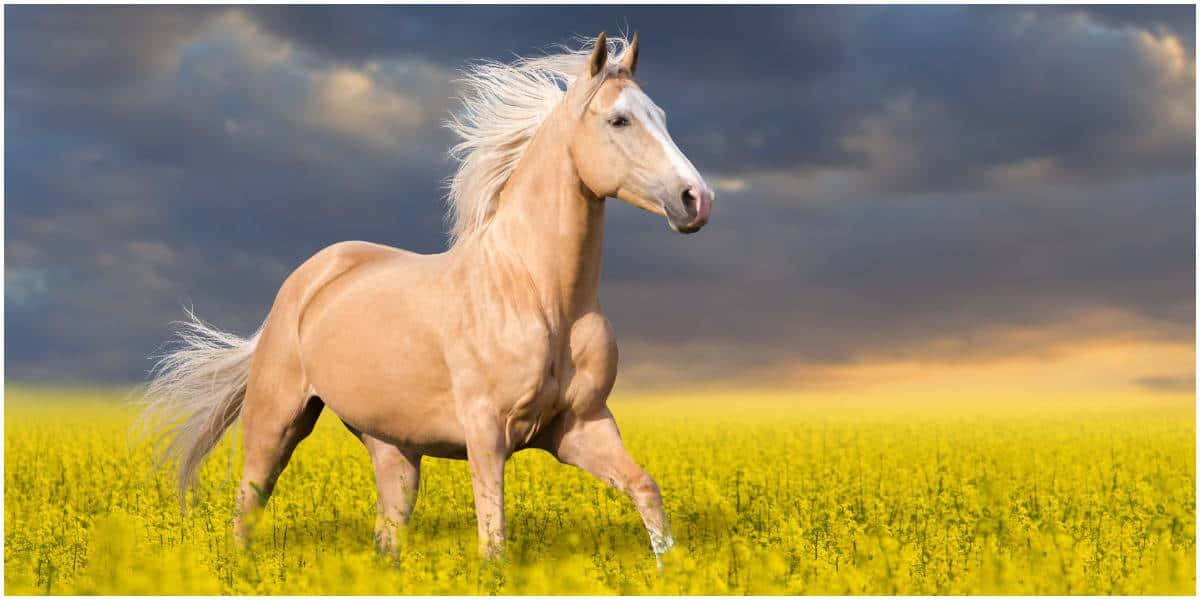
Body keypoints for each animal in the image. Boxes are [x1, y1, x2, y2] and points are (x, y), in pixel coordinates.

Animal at [142, 32, 713, 563]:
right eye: (618, 121)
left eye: (660, 115)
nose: (696, 200)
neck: (540, 295)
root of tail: (306, 281)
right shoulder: (487, 432)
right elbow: (493, 541)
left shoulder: (580, 426)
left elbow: (646, 490)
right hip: (276, 420)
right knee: (248, 507)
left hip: (393, 447)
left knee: (388, 533)